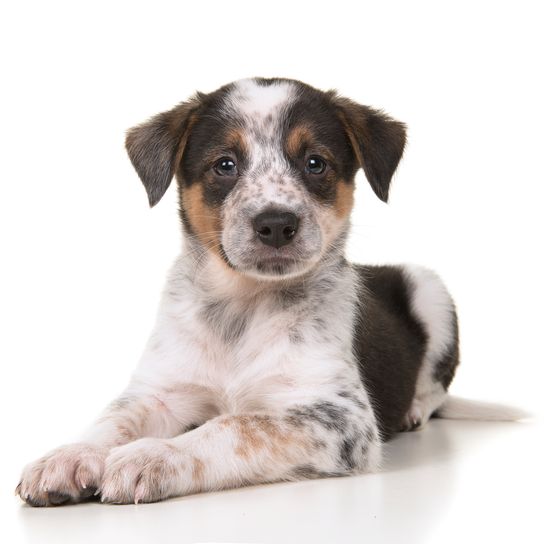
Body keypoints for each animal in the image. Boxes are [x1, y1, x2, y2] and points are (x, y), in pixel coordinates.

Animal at [15, 76, 520, 506]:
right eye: (225, 164)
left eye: (315, 163)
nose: (276, 223)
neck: (243, 305)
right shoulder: (161, 391)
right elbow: (113, 419)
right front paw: (67, 456)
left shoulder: (340, 417)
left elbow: (235, 425)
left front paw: (155, 455)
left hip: (430, 290)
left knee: (434, 388)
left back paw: (414, 409)